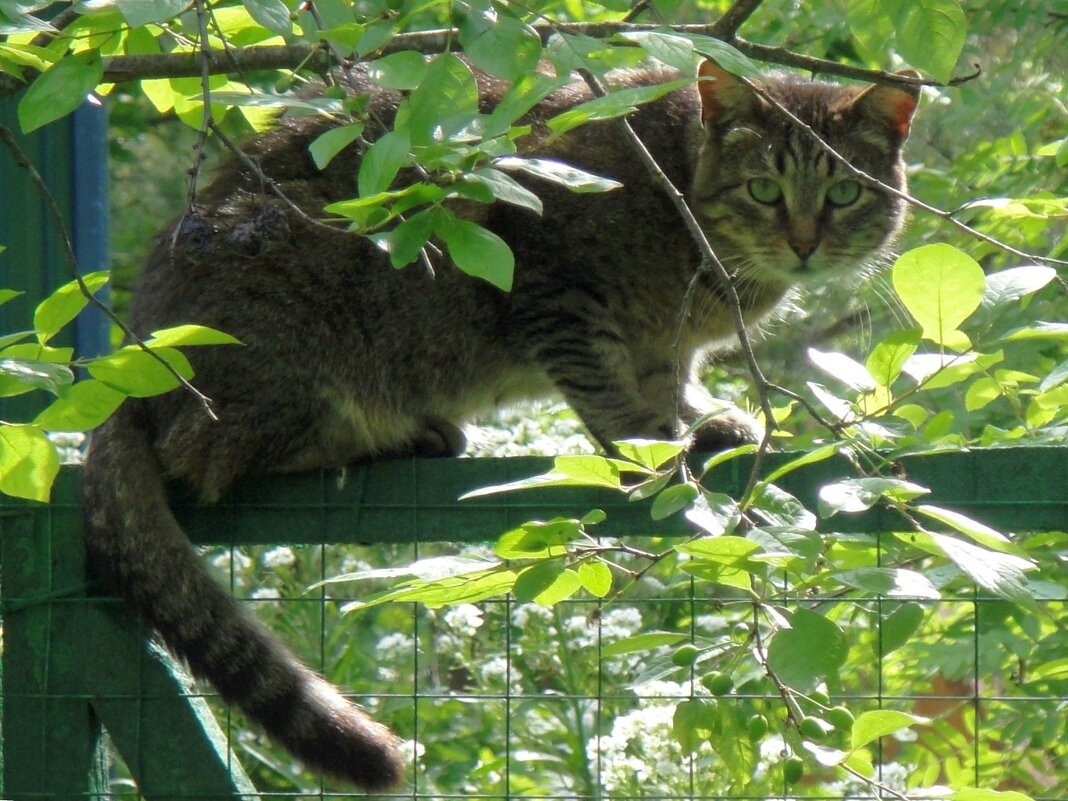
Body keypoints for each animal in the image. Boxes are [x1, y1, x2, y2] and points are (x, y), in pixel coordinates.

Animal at [83, 57, 918, 790]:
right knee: (212, 451)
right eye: (763, 189)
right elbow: (617, 404)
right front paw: (658, 454)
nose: (805, 242)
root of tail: (128, 367)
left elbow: (670, 383)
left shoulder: (663, 344)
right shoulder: (554, 285)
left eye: (844, 192)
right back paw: (400, 434)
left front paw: (706, 421)